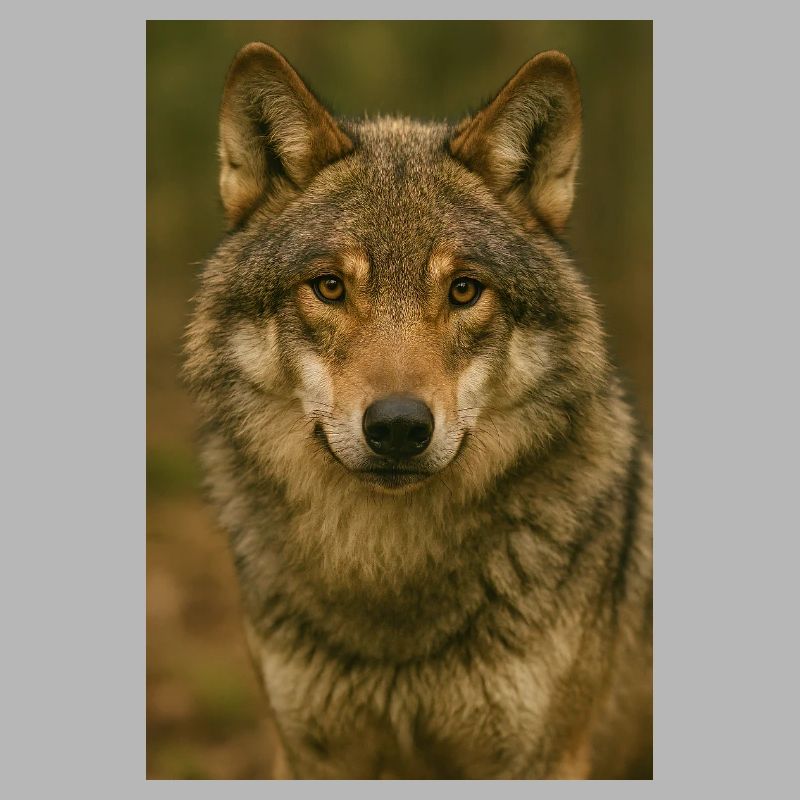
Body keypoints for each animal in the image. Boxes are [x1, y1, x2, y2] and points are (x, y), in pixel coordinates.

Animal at [183, 42, 652, 779]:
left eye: (464, 290)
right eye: (329, 287)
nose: (399, 426)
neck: (390, 580)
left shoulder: (544, 758)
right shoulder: (310, 755)